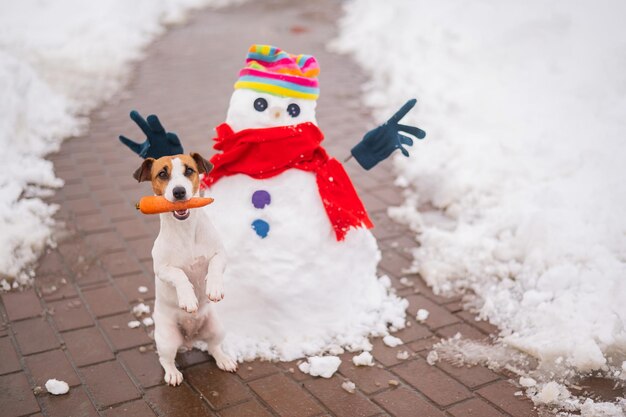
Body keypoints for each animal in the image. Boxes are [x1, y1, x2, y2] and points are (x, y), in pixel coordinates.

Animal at [132, 154, 236, 386]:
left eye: (189, 170)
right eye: (162, 174)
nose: (179, 192)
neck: (186, 230)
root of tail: (190, 339)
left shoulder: (220, 254)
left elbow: (214, 266)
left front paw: (214, 288)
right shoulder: (162, 269)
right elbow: (179, 275)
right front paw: (188, 299)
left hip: (217, 328)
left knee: (214, 347)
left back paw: (224, 359)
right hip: (167, 340)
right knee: (166, 359)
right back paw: (172, 374)